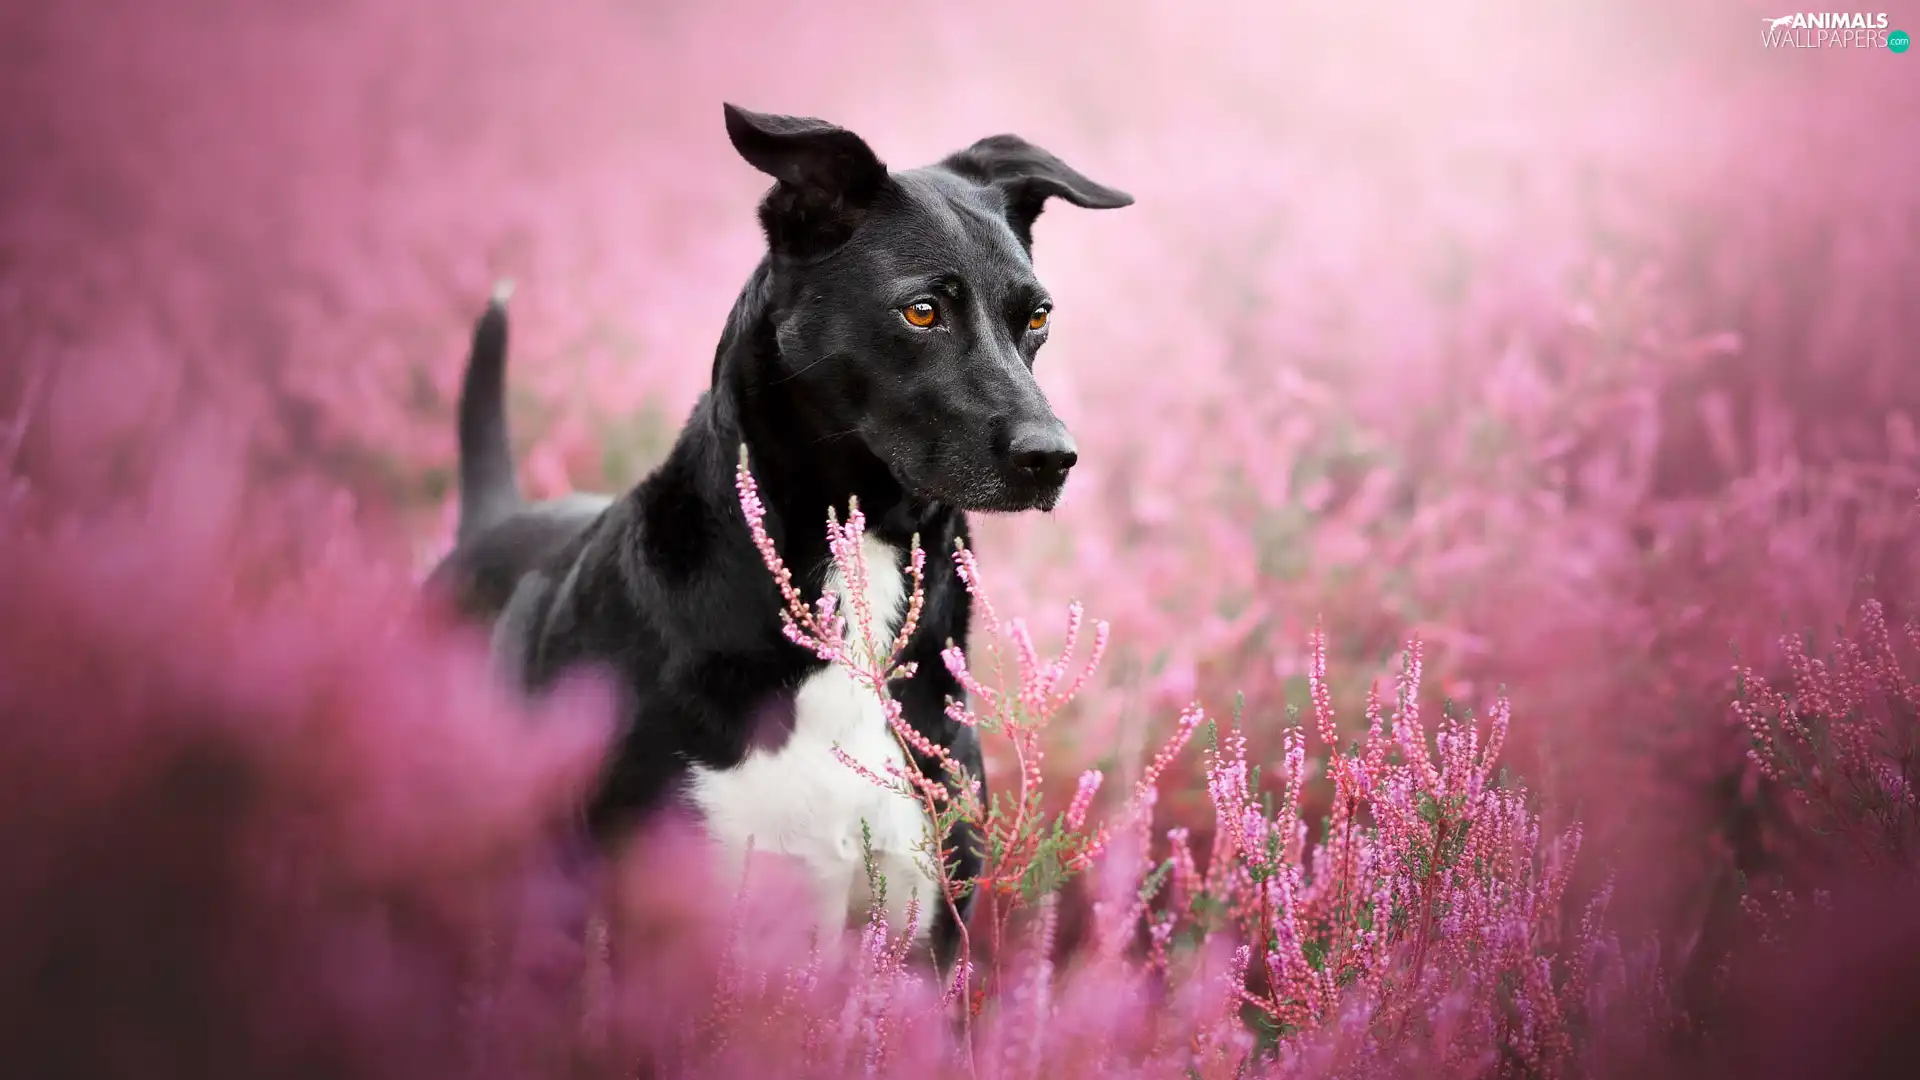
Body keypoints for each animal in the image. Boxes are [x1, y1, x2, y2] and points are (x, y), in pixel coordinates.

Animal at [428, 107, 1128, 968]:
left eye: (1036, 316)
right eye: (921, 311)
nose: (1052, 458)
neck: (859, 561)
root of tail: (492, 519)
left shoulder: (928, 936)